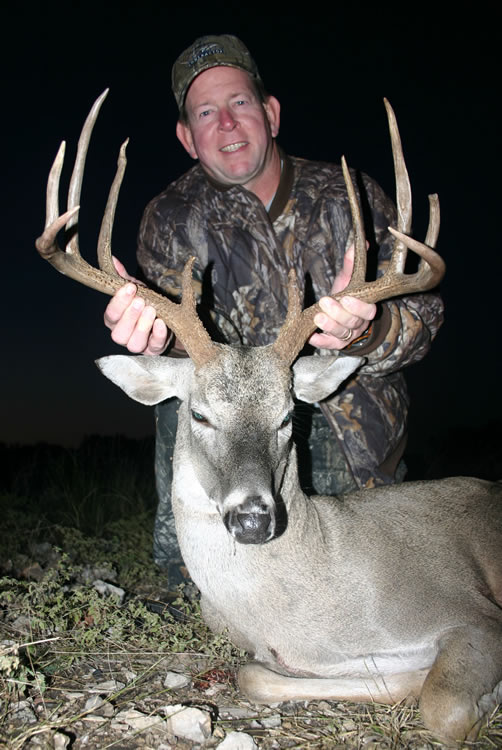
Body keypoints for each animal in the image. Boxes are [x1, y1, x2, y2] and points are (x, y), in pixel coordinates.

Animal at [36, 90, 502, 744]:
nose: (254, 519)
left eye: (288, 417)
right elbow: (253, 675)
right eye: (199, 414)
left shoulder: (472, 611)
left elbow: (445, 708)